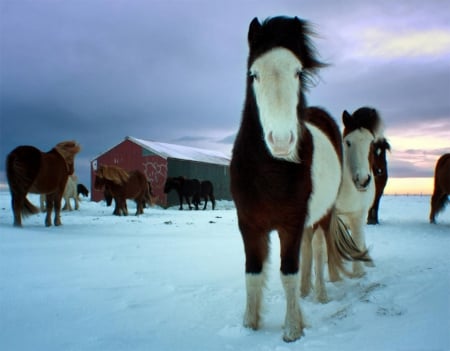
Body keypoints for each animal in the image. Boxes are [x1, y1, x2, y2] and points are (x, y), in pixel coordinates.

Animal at [230, 17, 370, 344]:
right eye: (253, 74)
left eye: (298, 72)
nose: (281, 141)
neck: (270, 173)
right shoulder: (248, 224)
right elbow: (252, 273)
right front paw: (249, 324)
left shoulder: (290, 224)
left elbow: (288, 273)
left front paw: (292, 328)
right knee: (308, 251)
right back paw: (307, 293)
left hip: (322, 217)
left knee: (317, 251)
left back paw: (318, 294)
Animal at [300, 108, 382, 306]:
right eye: (348, 142)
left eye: (371, 143)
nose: (363, 180)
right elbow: (316, 247)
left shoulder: (359, 215)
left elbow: (358, 239)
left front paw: (358, 272)